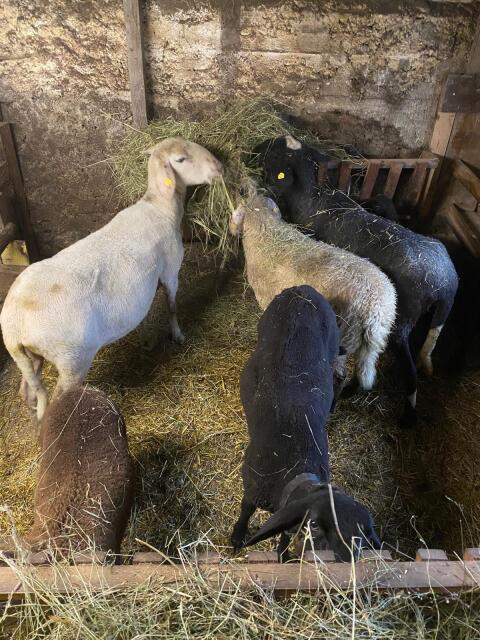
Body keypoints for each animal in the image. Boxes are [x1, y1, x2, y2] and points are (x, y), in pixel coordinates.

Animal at [0, 138, 223, 421]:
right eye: (181, 160)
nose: (219, 167)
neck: (160, 207)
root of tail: (14, 323)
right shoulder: (171, 270)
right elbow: (172, 306)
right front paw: (177, 335)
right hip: (72, 360)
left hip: (30, 357)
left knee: (28, 391)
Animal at [229, 194, 397, 395]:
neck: (268, 231)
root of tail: (377, 308)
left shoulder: (266, 298)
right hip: (372, 345)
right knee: (365, 371)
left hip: (343, 336)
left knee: (340, 373)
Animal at [231, 285, 381, 562]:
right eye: (315, 524)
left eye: (363, 537)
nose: (345, 560)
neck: (294, 472)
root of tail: (303, 290)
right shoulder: (252, 486)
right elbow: (245, 510)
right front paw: (237, 537)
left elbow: (284, 533)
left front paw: (282, 556)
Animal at [253, 136, 459, 426]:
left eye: (274, 153)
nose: (253, 149)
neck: (311, 195)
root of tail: (444, 282)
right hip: (430, 318)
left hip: (400, 322)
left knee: (407, 369)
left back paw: (405, 414)